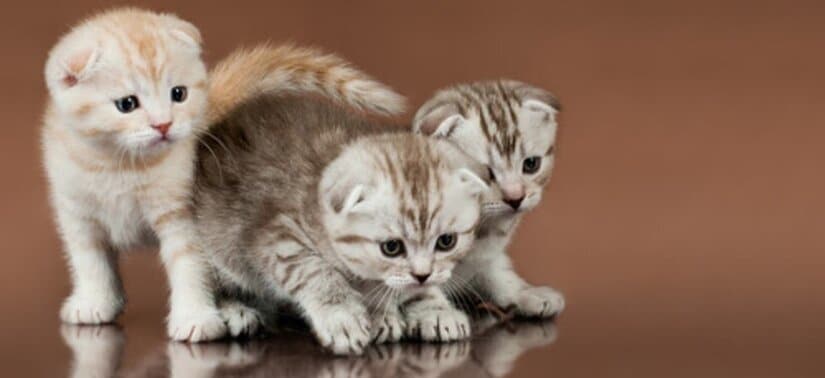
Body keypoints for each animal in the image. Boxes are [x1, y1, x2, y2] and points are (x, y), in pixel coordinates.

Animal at [43, 6, 404, 342]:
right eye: (127, 104)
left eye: (178, 94)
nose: (164, 125)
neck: (120, 165)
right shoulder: (75, 211)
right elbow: (89, 260)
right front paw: (94, 302)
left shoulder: (183, 213)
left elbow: (189, 266)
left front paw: (195, 318)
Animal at [193, 93, 490, 356]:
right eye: (391, 247)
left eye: (446, 241)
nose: (423, 275)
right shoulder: (275, 232)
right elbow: (314, 271)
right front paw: (343, 316)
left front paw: (433, 307)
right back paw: (237, 310)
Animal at [412, 79, 568, 318]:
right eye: (483, 174)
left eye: (531, 164)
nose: (516, 198)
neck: (483, 233)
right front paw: (439, 313)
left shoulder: (486, 258)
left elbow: (497, 271)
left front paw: (525, 292)